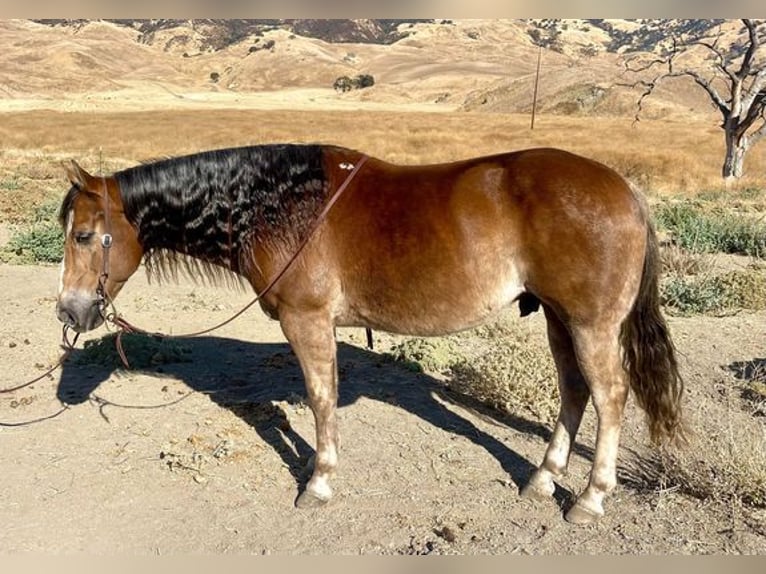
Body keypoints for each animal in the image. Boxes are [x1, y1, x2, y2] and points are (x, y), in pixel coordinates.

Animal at [57, 144, 688, 528]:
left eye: (85, 235)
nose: (69, 310)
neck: (282, 205)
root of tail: (626, 191)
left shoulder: (307, 320)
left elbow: (321, 399)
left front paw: (318, 482)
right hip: (560, 319)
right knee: (575, 392)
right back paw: (542, 479)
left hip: (590, 325)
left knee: (609, 397)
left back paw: (591, 497)